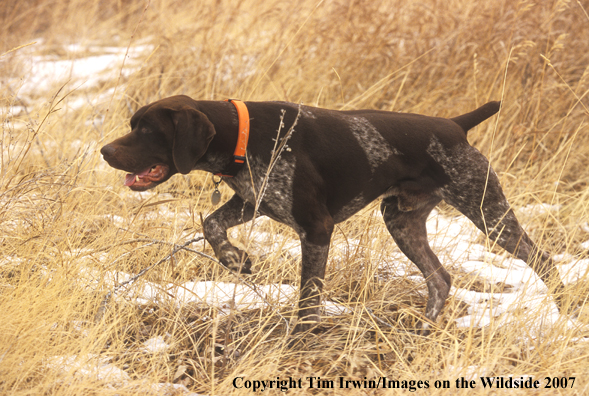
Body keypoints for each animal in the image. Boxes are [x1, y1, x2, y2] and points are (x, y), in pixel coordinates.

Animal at [100, 96, 564, 334]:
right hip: (401, 220)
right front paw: (235, 259)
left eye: (147, 130)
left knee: (544, 261)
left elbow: (308, 299)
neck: (243, 136)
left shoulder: (316, 228)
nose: (105, 150)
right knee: (440, 279)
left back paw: (565, 313)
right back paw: (423, 329)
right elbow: (210, 223)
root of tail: (454, 124)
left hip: (487, 210)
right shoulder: (253, 201)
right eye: (133, 125)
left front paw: (300, 341)